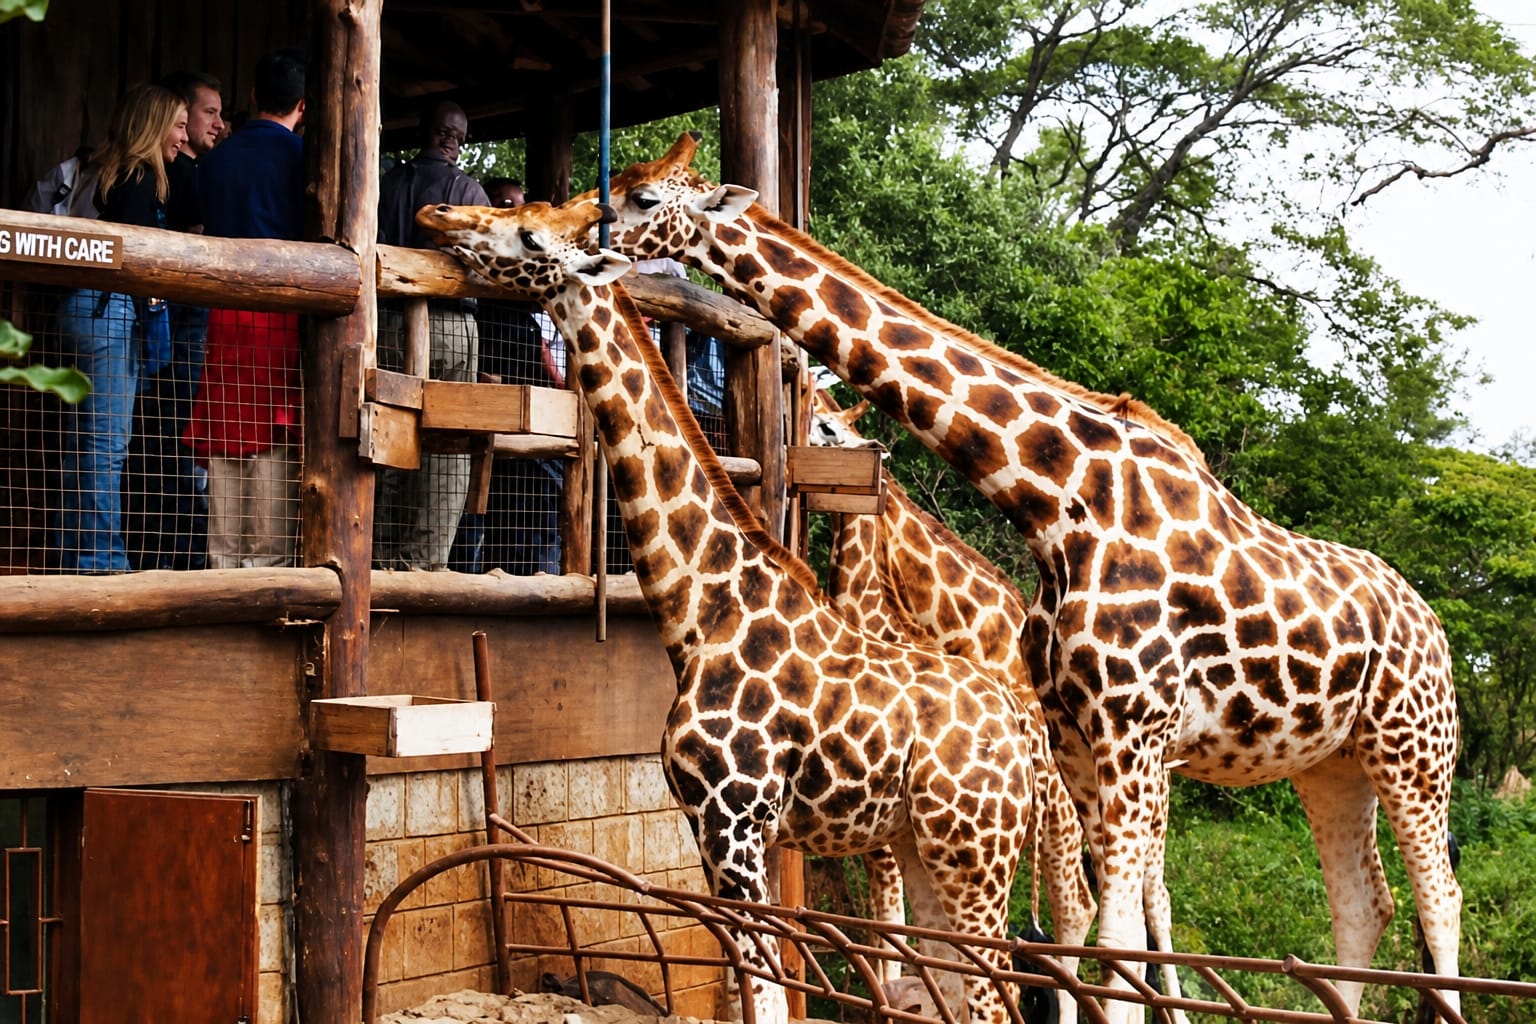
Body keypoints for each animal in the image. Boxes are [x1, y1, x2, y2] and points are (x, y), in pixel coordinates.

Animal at [417, 197, 1041, 1024]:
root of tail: (1021, 743)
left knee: (999, 994)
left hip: (974, 853)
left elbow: (768, 990)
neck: (702, 609)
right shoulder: (717, 829)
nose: (438, 213)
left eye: (527, 233)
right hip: (925, 846)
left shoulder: (735, 823)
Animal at [591, 133, 1463, 1023]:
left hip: (1413, 747)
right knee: (1363, 904)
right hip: (1330, 761)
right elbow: (1080, 927)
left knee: (1439, 899)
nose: (583, 233)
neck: (1057, 501)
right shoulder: (1079, 736)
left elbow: (1111, 935)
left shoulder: (1134, 734)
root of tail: (1434, 627)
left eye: (641, 198)